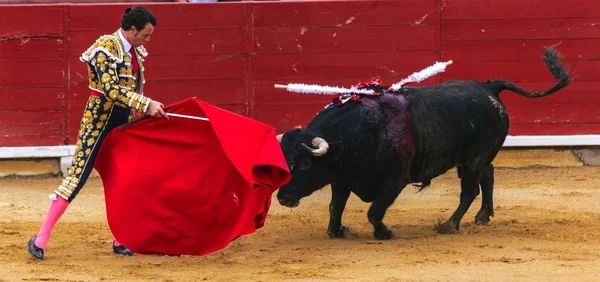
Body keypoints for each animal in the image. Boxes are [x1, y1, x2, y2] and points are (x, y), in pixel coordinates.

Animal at [276, 46, 572, 240]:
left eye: (305, 163)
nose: (283, 197)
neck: (360, 129)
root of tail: (487, 86)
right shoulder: (341, 178)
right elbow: (335, 206)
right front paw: (337, 230)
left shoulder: (393, 181)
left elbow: (374, 211)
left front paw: (384, 232)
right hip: (477, 156)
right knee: (488, 175)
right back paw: (483, 216)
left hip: (473, 158)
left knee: (469, 190)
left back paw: (450, 224)